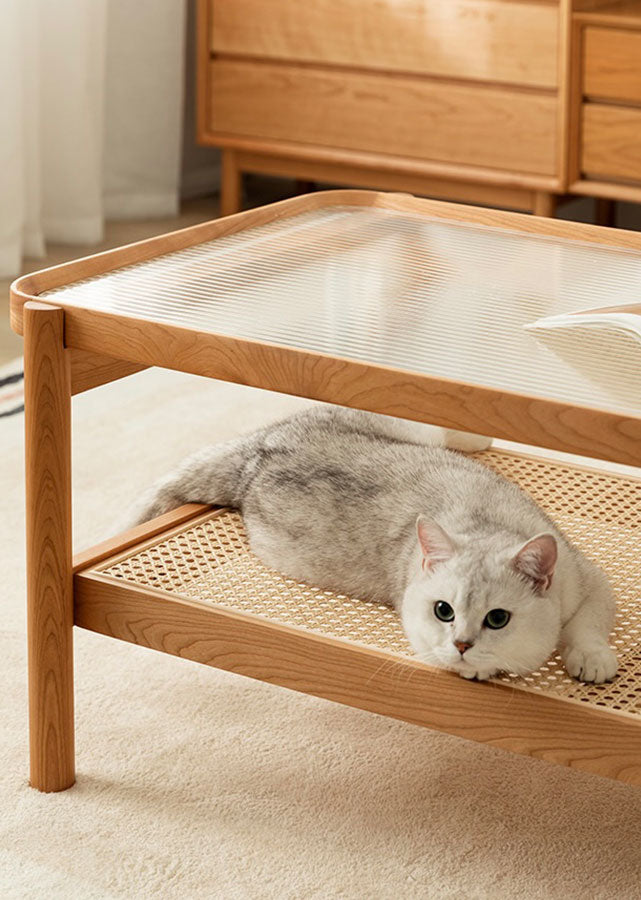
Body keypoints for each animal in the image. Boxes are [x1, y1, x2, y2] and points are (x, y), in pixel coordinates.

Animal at [130, 406, 616, 684]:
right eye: (444, 611)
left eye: (498, 618)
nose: (462, 644)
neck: (487, 524)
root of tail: (260, 447)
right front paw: (472, 664)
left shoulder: (589, 578)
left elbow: (589, 624)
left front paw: (592, 659)